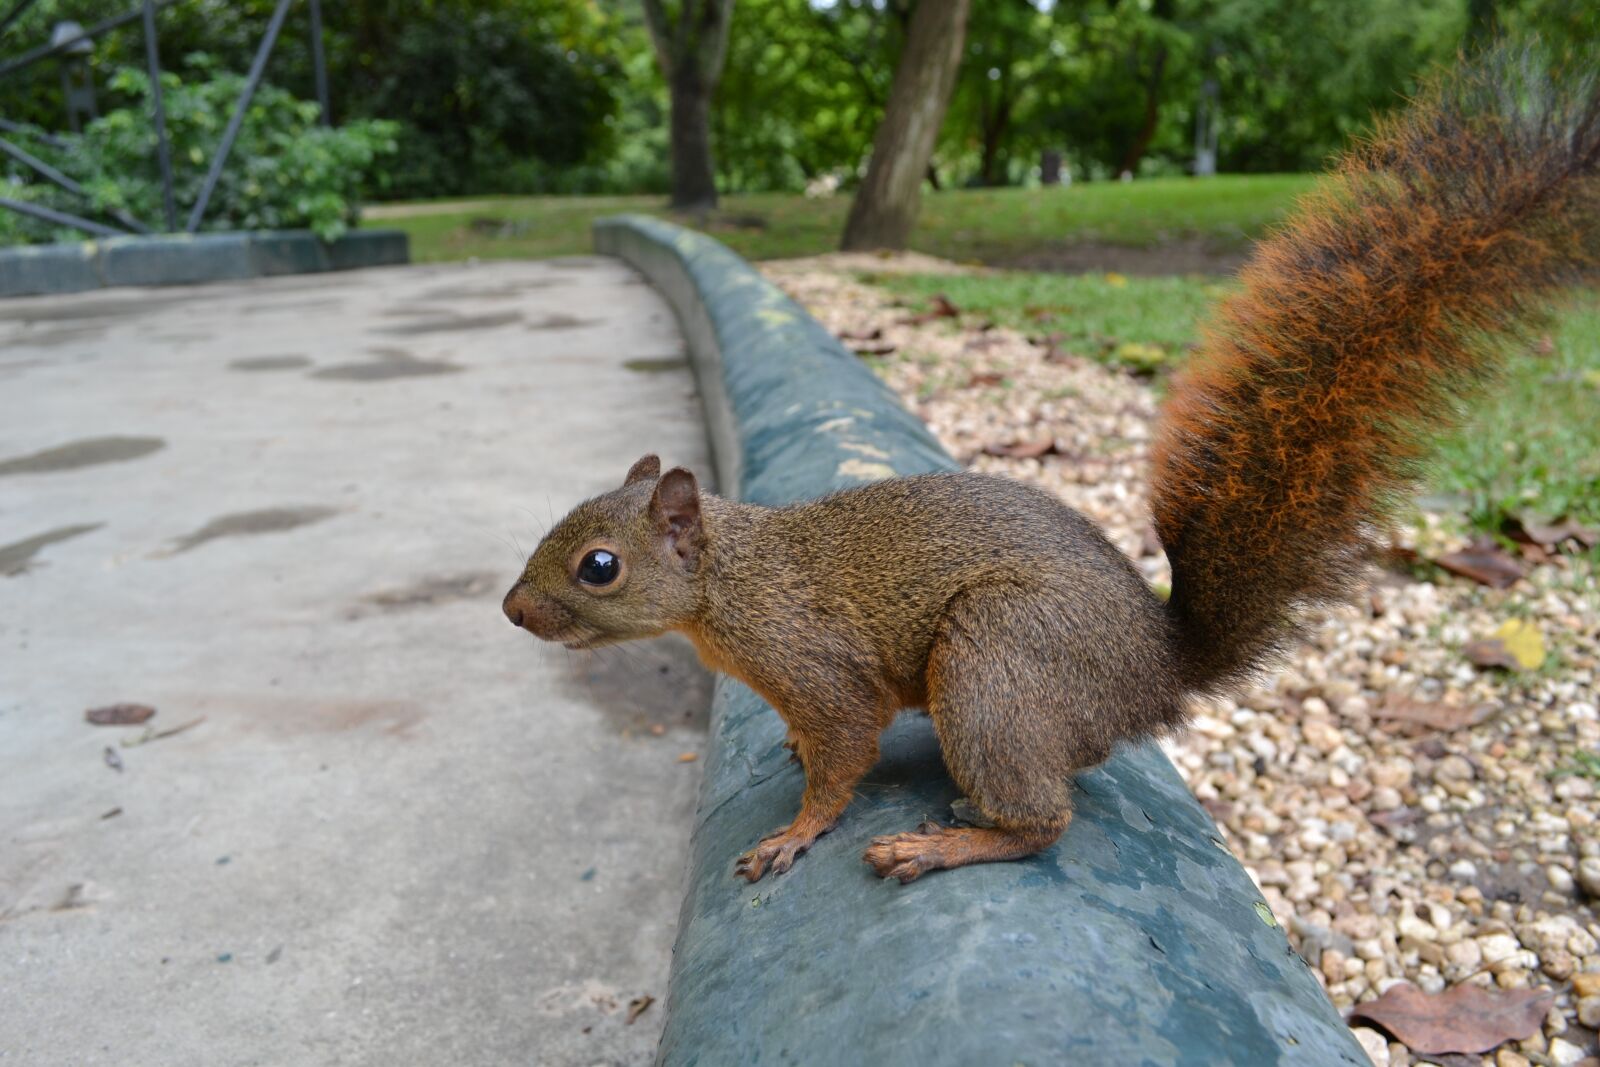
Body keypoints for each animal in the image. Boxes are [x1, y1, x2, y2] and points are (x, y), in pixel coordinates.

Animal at [503, 52, 1600, 884]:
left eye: (598, 566)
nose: (513, 611)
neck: (727, 583)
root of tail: (1160, 667)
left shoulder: (818, 667)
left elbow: (842, 754)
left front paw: (795, 833)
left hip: (996, 657)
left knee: (1045, 821)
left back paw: (939, 844)